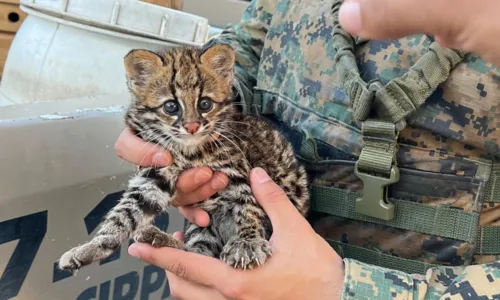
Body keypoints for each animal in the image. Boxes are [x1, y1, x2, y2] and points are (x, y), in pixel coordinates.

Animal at [57, 44, 308, 272]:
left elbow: (248, 208)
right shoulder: (155, 174)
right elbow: (125, 213)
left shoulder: (239, 173)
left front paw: (248, 242)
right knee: (199, 252)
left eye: (205, 103)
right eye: (171, 106)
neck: (191, 151)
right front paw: (92, 247)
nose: (192, 126)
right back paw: (161, 239)